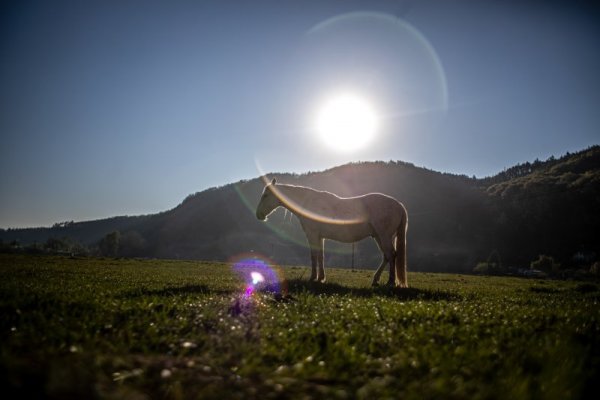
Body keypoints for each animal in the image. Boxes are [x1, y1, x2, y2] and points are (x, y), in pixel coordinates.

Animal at [254, 178, 408, 288]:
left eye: (266, 195)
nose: (258, 215)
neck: (308, 203)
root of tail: (399, 205)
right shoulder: (320, 237)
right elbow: (320, 256)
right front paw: (321, 278)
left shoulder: (312, 235)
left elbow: (314, 256)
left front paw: (313, 278)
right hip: (378, 236)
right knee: (387, 256)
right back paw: (376, 280)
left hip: (384, 236)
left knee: (391, 255)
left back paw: (390, 282)